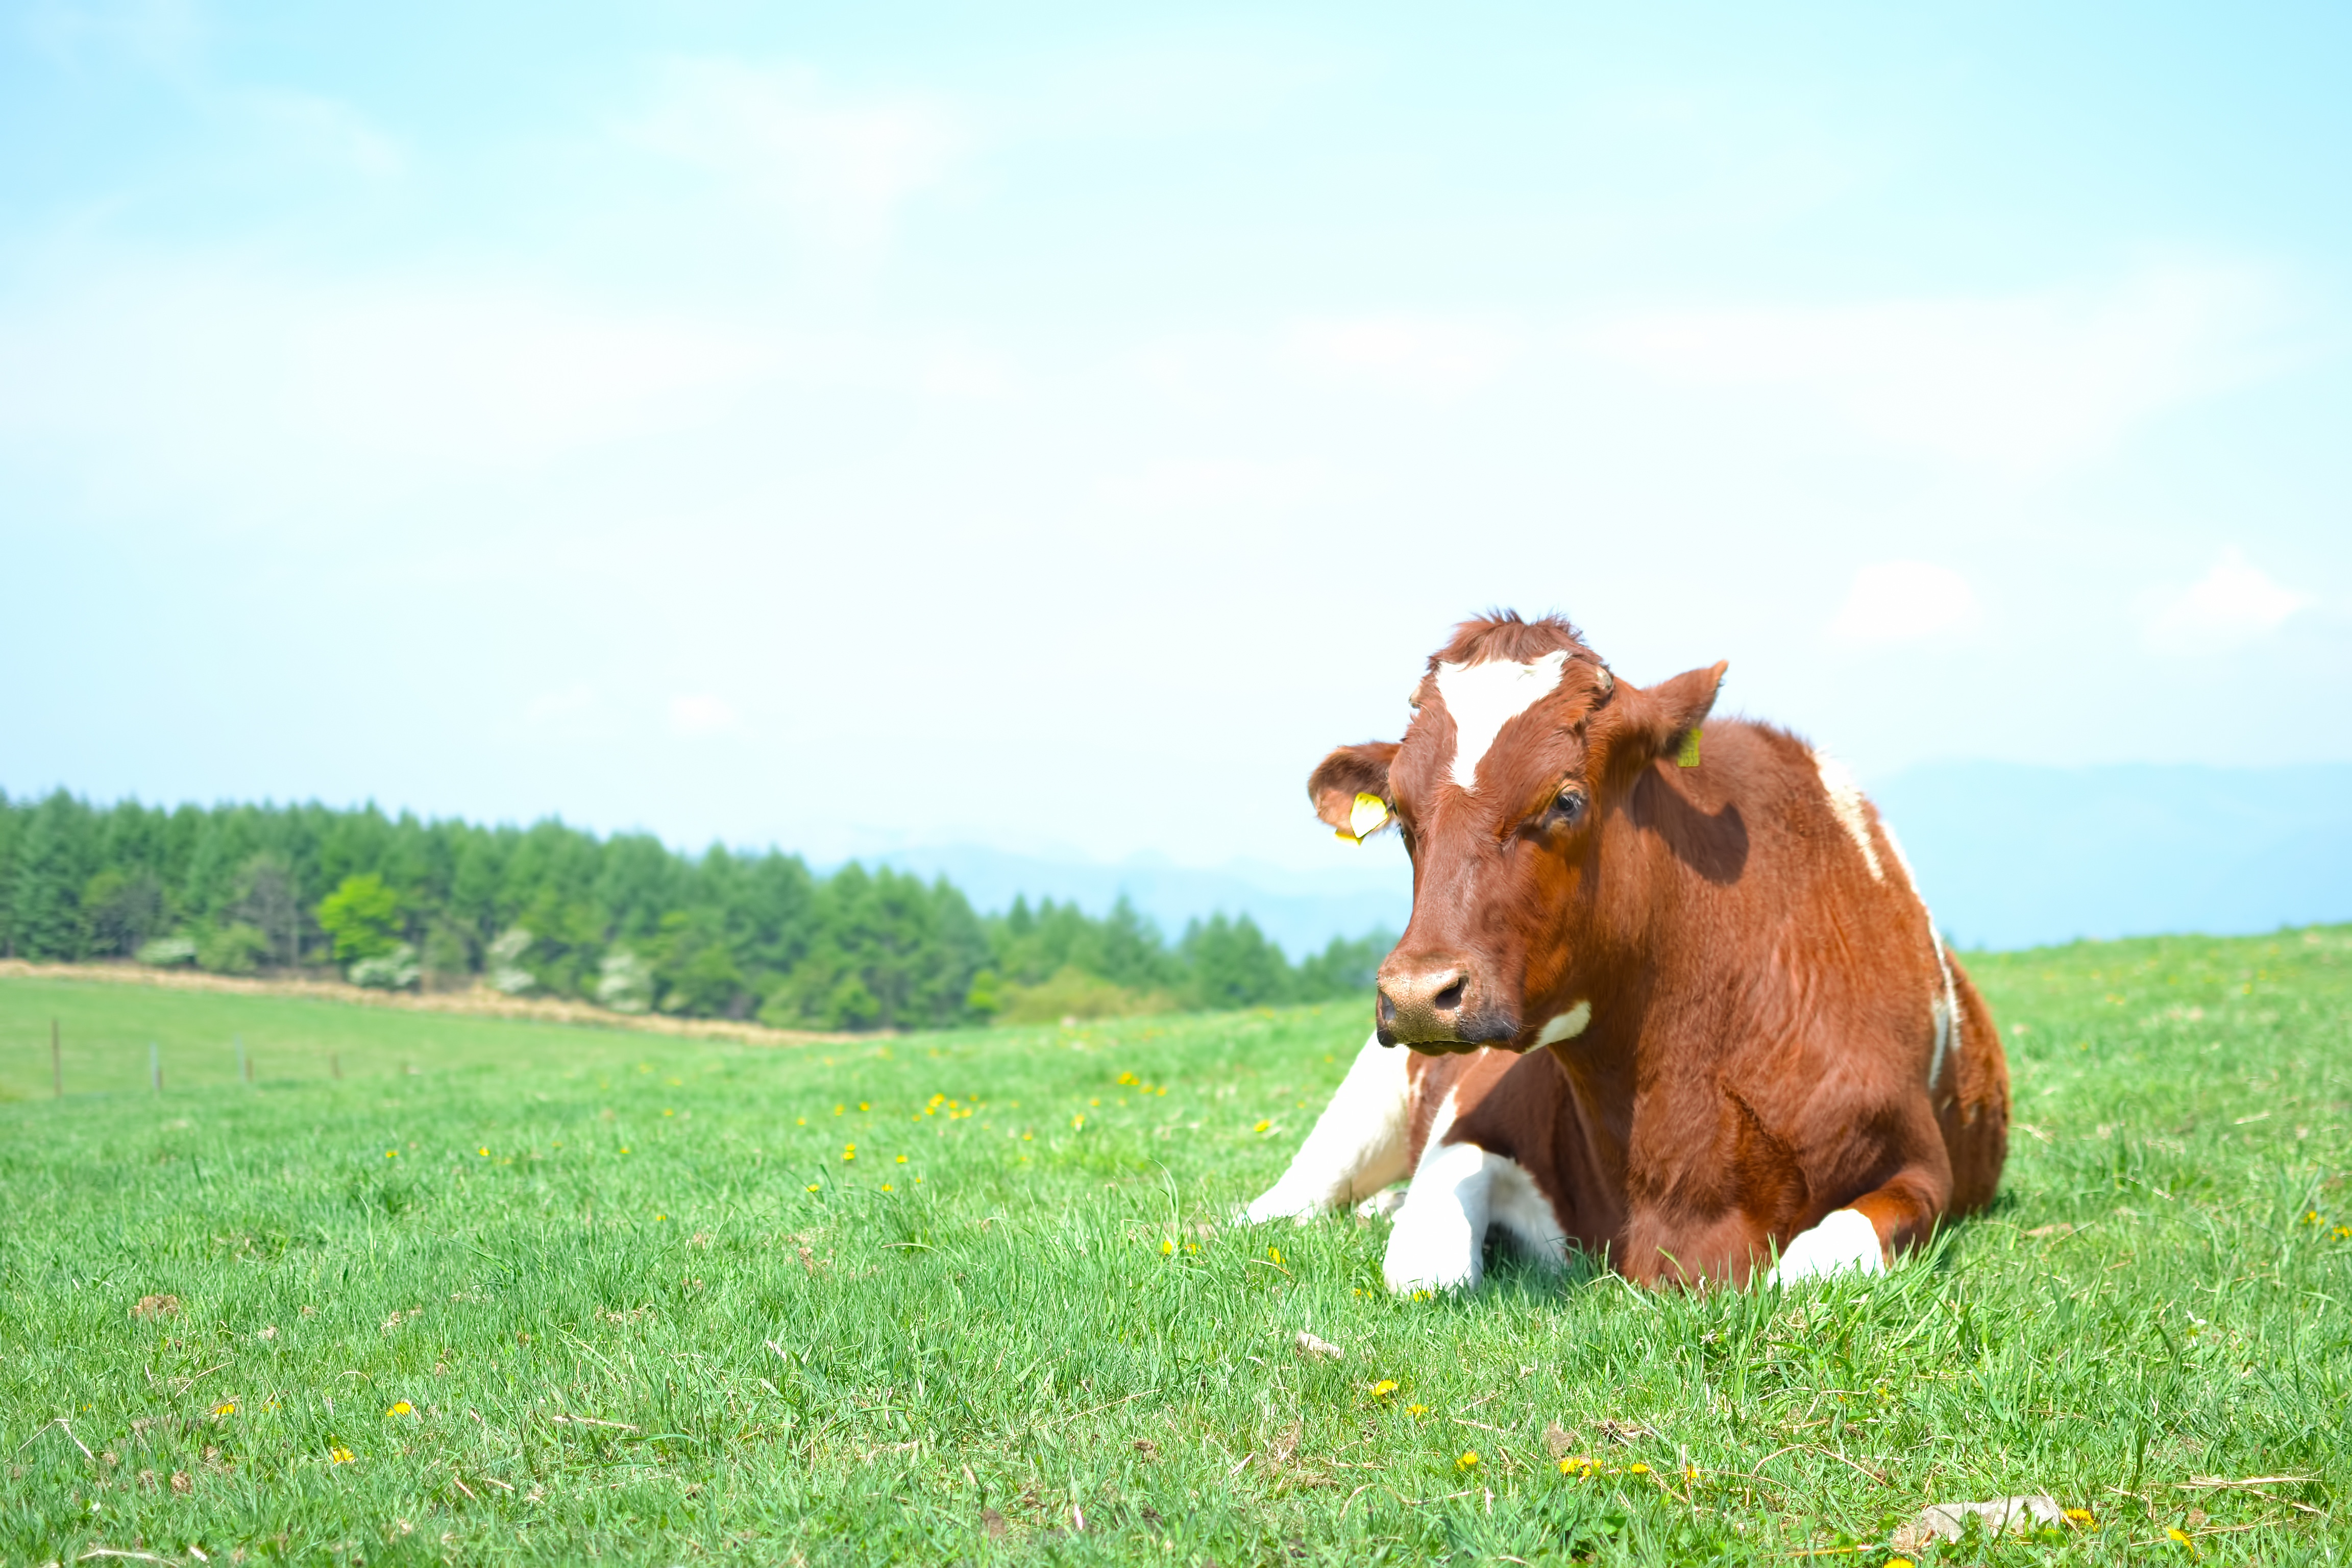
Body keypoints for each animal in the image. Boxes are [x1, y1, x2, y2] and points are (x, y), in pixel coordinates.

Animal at [1242, 611, 2013, 1288]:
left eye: (1566, 800)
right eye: (1401, 815)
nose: (1416, 995)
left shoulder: (1921, 1169)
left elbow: (1805, 1269)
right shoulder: (1470, 1124)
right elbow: (1424, 1269)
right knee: (1287, 1203)